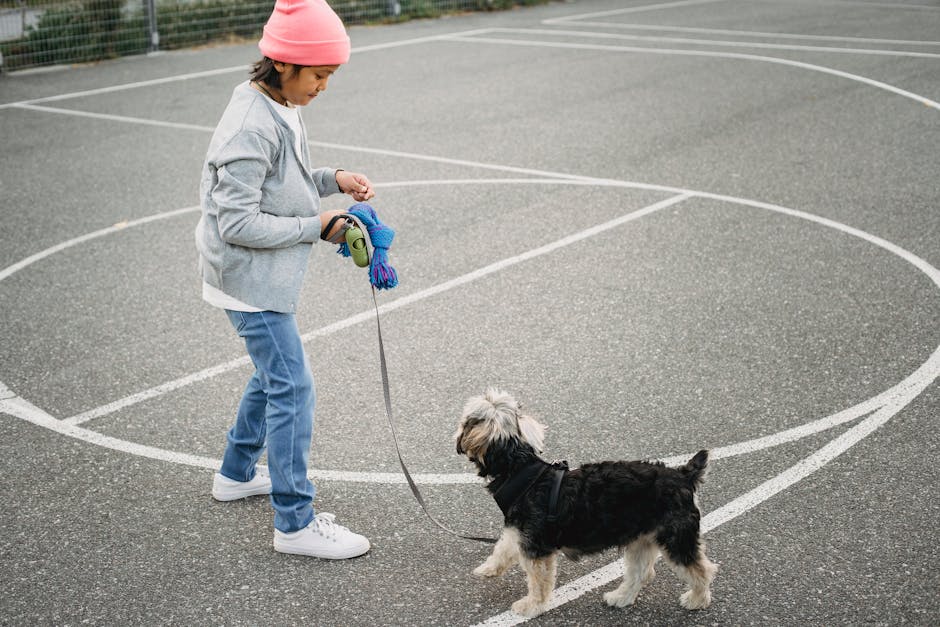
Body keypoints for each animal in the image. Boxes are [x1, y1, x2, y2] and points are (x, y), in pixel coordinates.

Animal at [454, 388, 712, 620]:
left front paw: (531, 605)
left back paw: (697, 599)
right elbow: (502, 548)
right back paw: (620, 597)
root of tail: (684, 475)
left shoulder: (536, 547)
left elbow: (538, 582)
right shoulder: (518, 532)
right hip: (641, 539)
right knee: (641, 573)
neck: (521, 470)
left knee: (703, 570)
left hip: (676, 539)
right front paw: (489, 569)